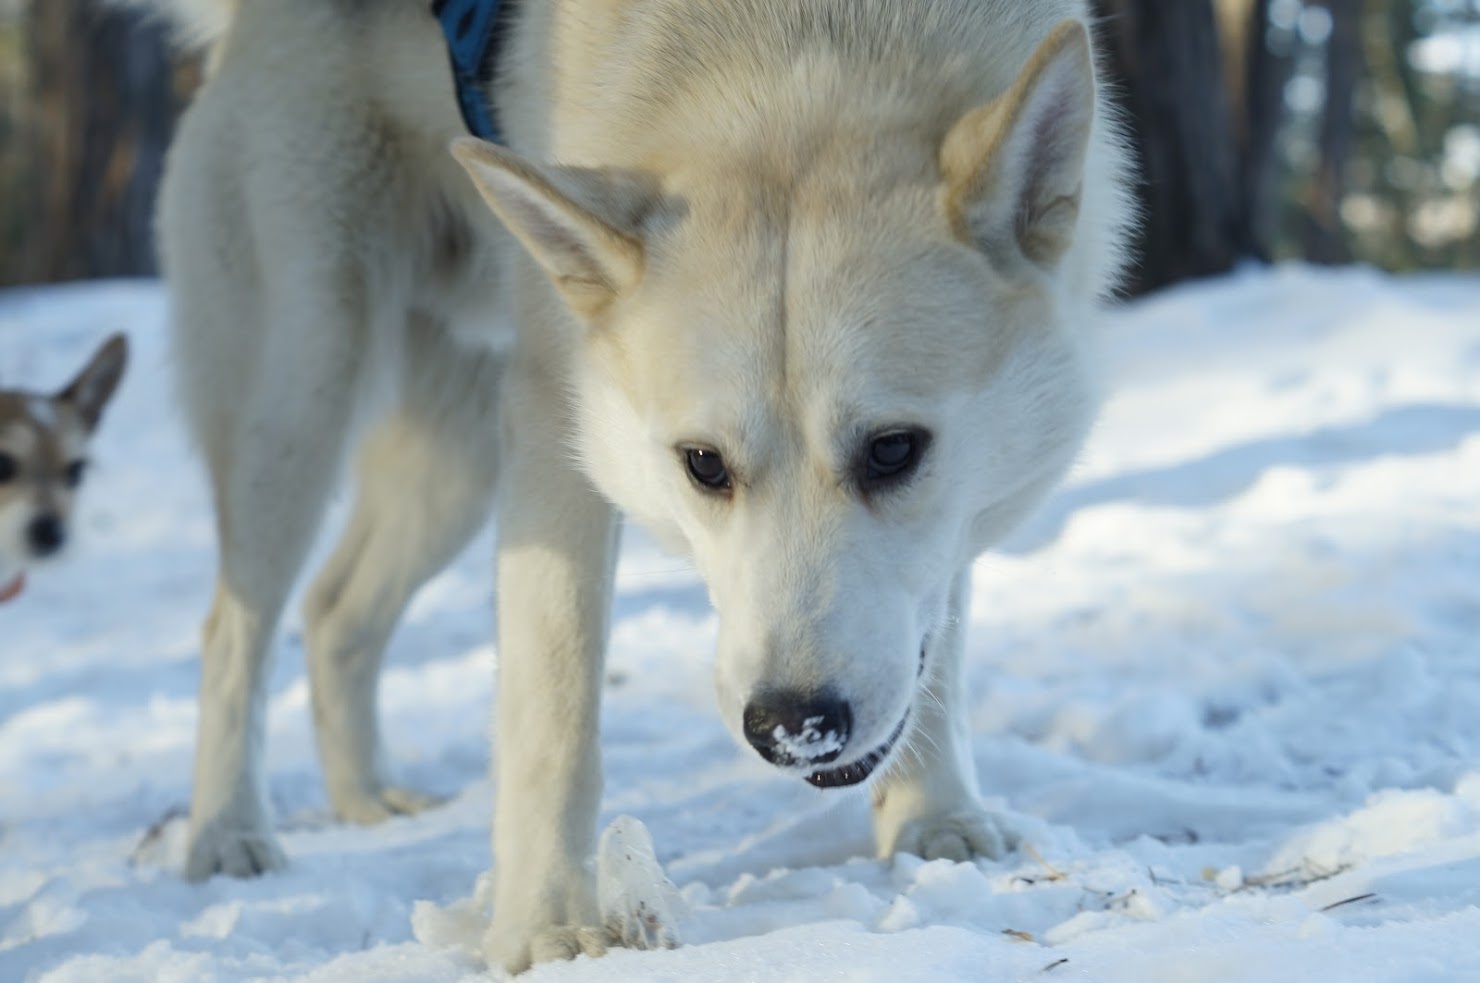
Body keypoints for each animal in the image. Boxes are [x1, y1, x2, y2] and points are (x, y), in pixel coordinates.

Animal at [136, 0, 1130, 965]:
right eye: (704, 464)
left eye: (892, 450)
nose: (792, 726)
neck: (808, 44)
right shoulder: (554, 432)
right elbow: (553, 704)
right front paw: (543, 927)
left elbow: (935, 646)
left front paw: (934, 817)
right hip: (302, 397)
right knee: (234, 630)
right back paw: (226, 833)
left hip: (455, 459)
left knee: (336, 611)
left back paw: (367, 800)